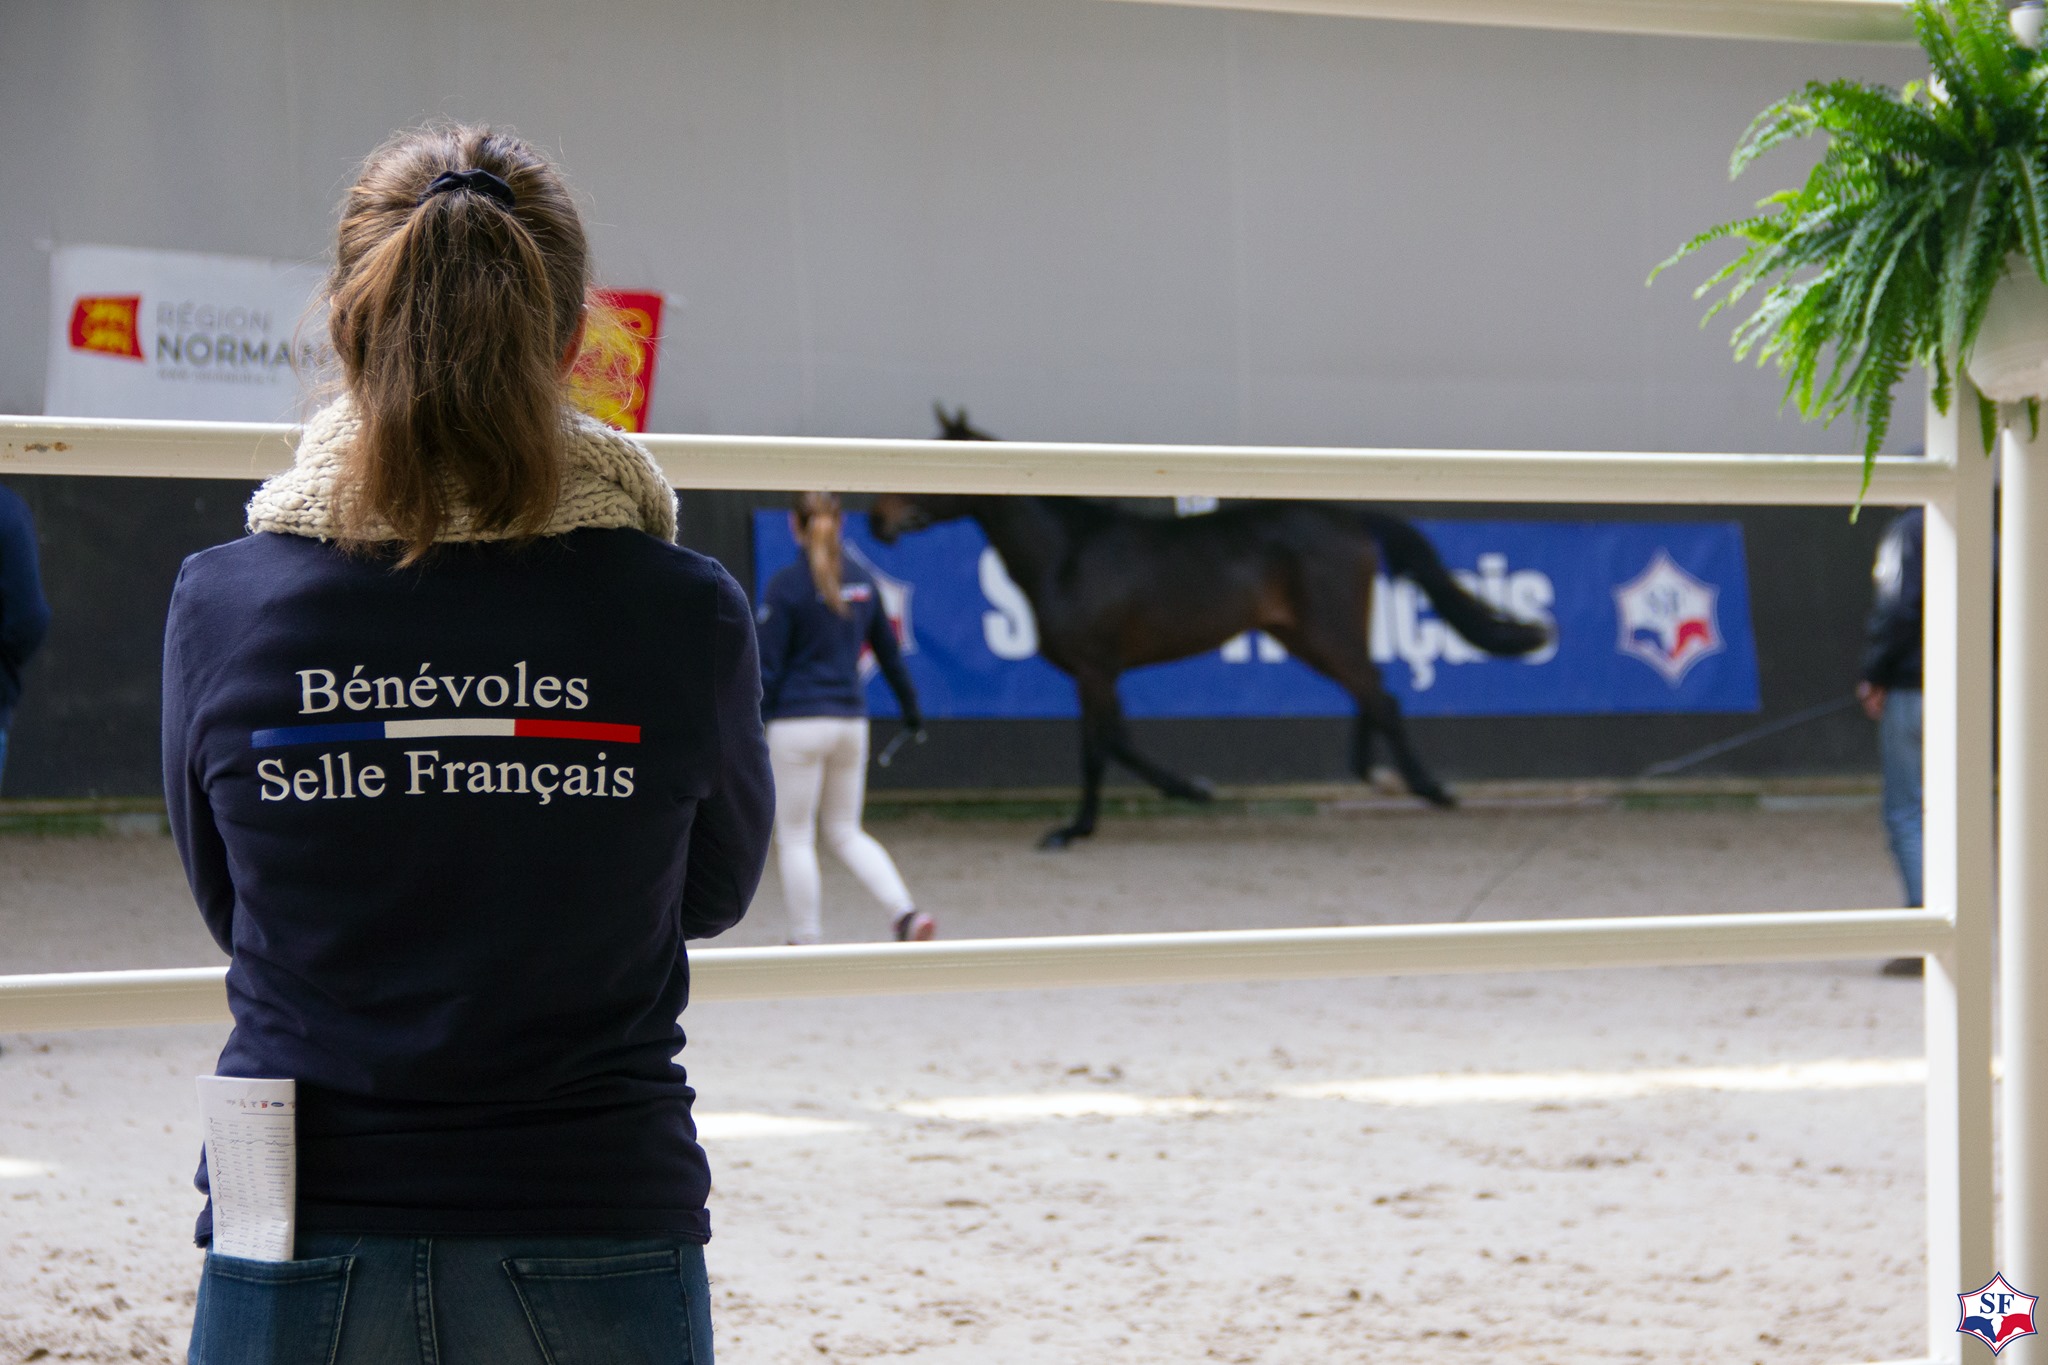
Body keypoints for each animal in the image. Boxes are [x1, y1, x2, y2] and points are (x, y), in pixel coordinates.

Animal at [867, 406, 1551, 848]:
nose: (877, 517)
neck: (1066, 554)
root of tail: (1351, 514)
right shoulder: (1099, 673)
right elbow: (1115, 740)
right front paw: (1180, 791)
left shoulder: (1094, 667)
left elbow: (1101, 746)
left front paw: (1081, 826)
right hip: (1305, 635)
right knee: (1368, 692)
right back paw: (1375, 775)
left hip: (1324, 631)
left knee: (1379, 694)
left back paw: (1428, 788)